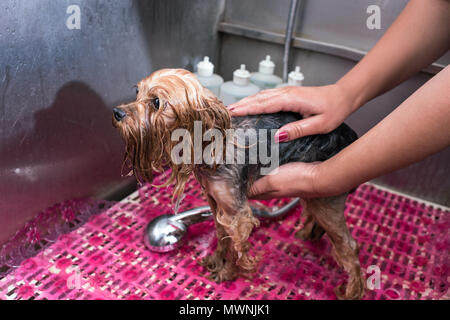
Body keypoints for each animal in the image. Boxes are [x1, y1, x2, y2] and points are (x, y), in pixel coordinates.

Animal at [112, 69, 366, 298]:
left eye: (156, 102)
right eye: (137, 92)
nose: (117, 112)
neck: (209, 145)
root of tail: (351, 137)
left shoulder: (238, 214)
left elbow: (237, 246)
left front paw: (228, 273)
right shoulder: (215, 203)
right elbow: (222, 236)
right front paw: (216, 260)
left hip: (328, 196)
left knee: (350, 245)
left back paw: (352, 291)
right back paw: (307, 234)